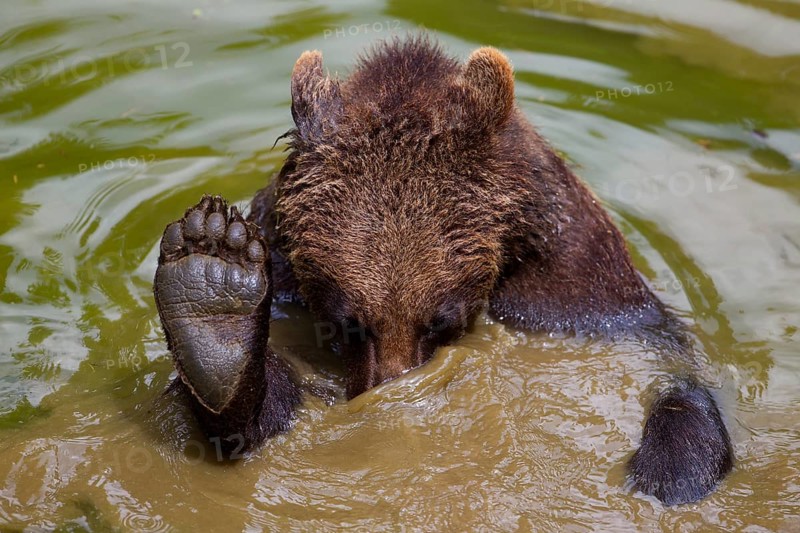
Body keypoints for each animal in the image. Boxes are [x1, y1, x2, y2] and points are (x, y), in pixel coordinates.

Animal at [153, 37, 733, 506]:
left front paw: (670, 474)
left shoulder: (574, 287)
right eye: (347, 322)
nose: (389, 390)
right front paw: (216, 297)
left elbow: (666, 365)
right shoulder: (282, 268)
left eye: (441, 318)